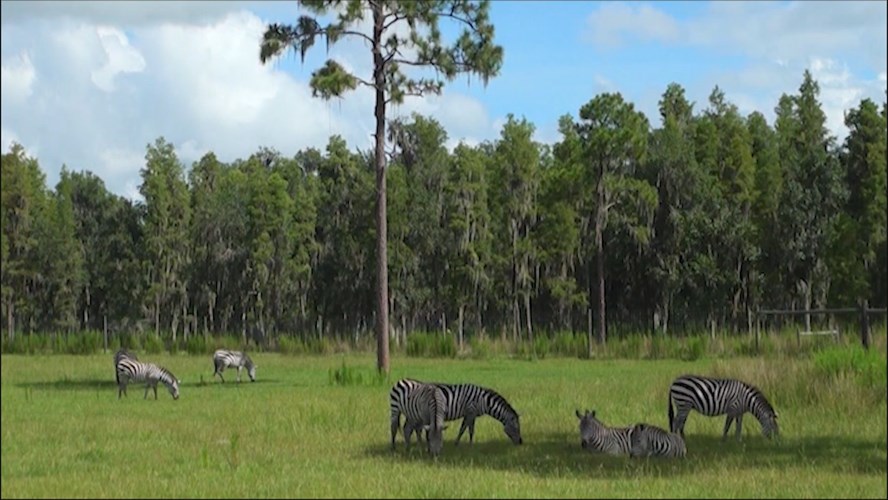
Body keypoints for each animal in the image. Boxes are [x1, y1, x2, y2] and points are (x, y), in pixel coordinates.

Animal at [390, 378, 522, 446]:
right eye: (516, 428)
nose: (521, 442)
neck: (483, 400)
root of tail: (402, 380)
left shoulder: (469, 414)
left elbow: (463, 428)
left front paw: (459, 443)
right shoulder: (470, 412)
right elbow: (468, 429)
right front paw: (468, 445)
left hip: (412, 414)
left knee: (408, 429)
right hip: (397, 409)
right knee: (396, 428)